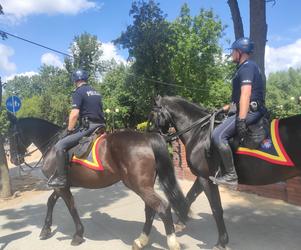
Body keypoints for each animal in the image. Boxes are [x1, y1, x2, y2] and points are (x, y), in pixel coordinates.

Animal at [7, 114, 188, 249]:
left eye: (10, 136)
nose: (14, 159)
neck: (53, 146)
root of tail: (147, 137)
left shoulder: (62, 187)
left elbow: (70, 207)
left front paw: (78, 235)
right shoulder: (61, 185)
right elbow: (51, 202)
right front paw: (45, 230)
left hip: (139, 186)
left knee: (162, 208)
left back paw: (171, 243)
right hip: (144, 186)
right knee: (151, 209)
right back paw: (141, 241)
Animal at [150, 94, 301, 249]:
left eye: (153, 113)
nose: (152, 136)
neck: (199, 133)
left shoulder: (206, 179)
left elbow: (216, 208)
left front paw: (221, 242)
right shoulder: (204, 176)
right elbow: (190, 196)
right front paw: (181, 220)